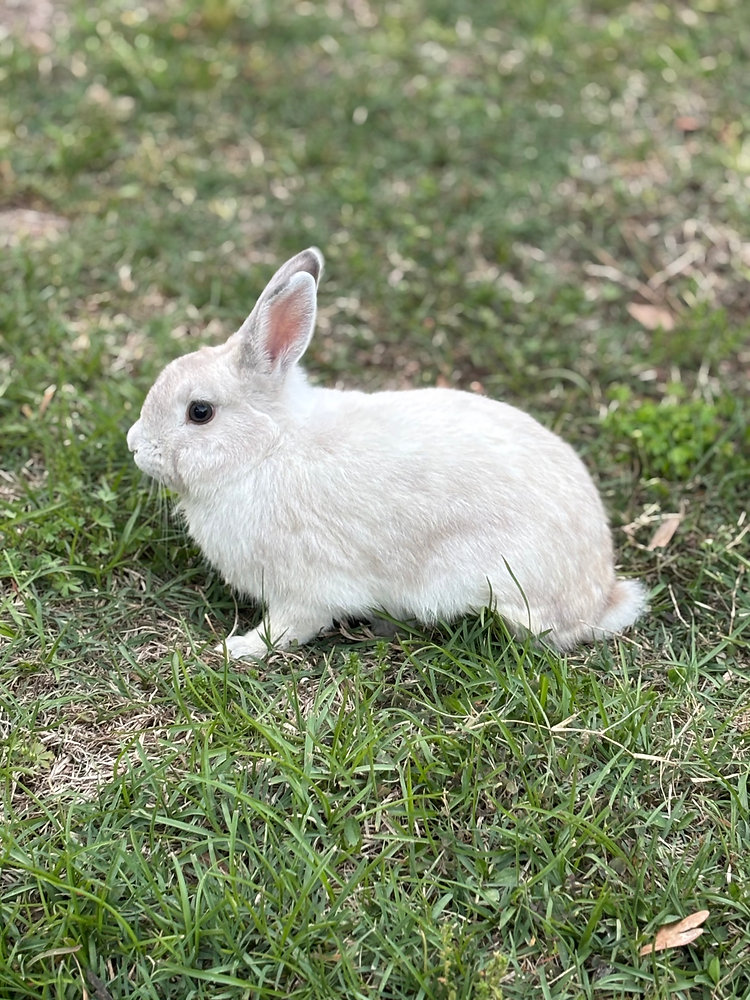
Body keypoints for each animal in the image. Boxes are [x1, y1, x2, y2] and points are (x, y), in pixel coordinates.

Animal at [127, 247, 646, 659]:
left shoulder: (302, 589)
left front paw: (235, 649)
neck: (267, 448)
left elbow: (290, 627)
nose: (134, 445)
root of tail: (600, 595)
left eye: (200, 412)